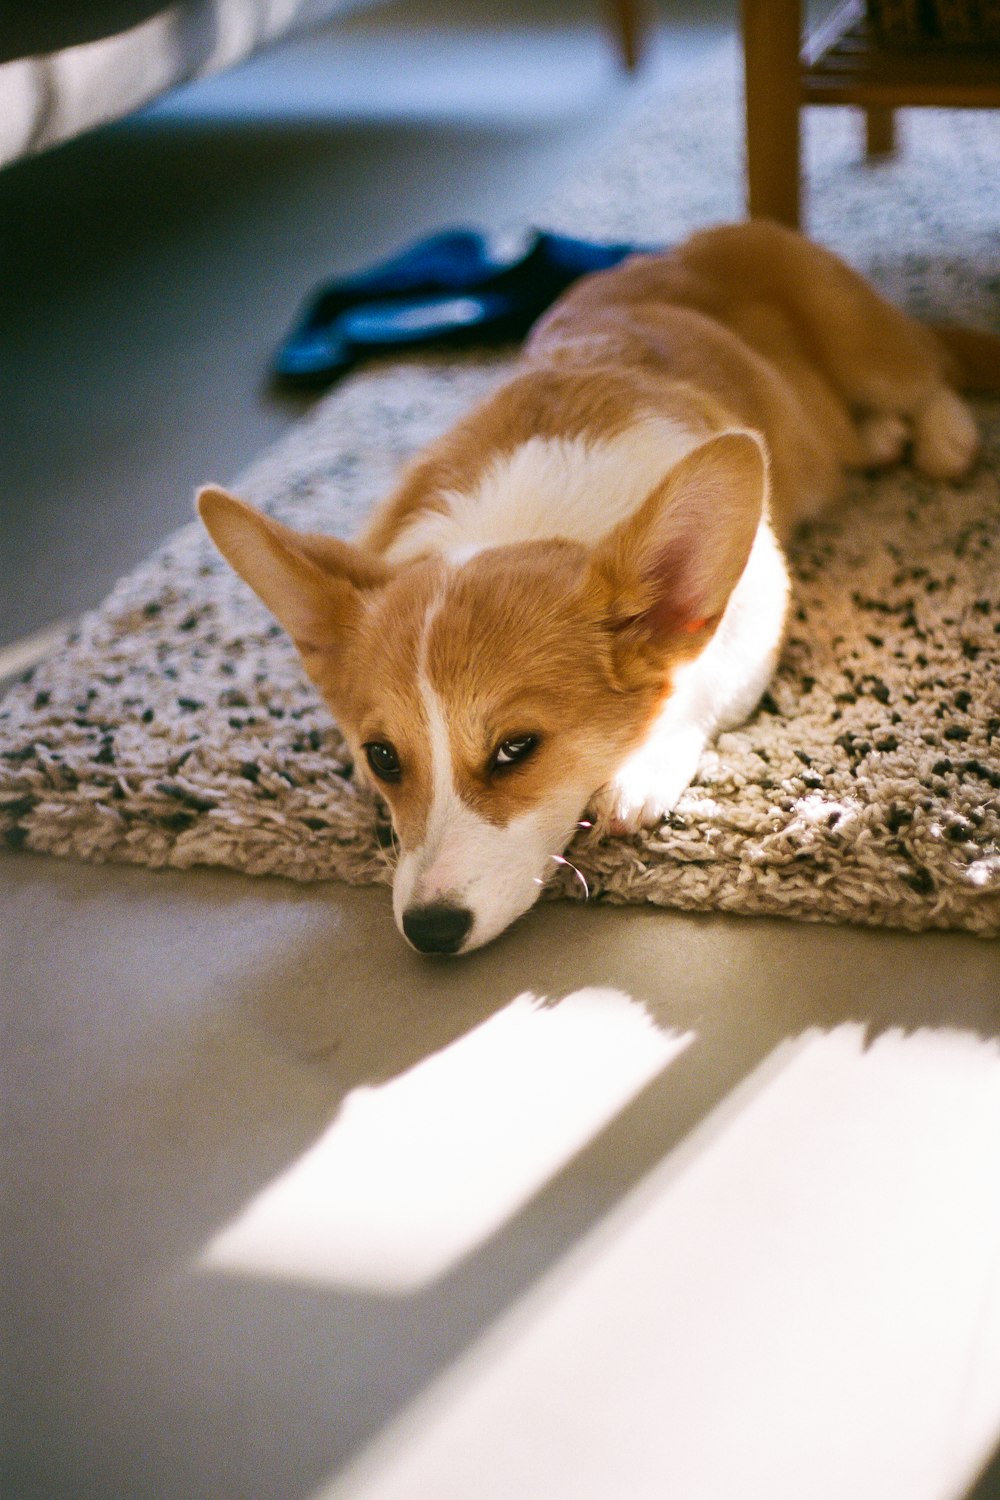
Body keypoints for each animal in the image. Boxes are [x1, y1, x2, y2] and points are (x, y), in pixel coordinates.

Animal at [197, 219, 1000, 948]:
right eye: (385, 757)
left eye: (516, 749)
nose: (429, 932)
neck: (525, 518)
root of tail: (678, 245)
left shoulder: (758, 613)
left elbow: (696, 683)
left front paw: (638, 773)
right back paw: (881, 437)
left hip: (864, 341)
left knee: (928, 373)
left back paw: (944, 437)